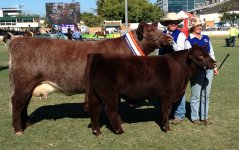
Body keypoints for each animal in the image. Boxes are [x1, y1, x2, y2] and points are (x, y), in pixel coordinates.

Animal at [7, 21, 172, 135]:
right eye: (151, 30)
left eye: (158, 28)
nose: (169, 38)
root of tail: (17, 40)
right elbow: (115, 105)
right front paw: (120, 123)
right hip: (24, 83)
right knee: (17, 102)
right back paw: (18, 129)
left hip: (27, 85)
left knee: (24, 104)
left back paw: (27, 124)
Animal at [84, 44, 217, 136]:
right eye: (200, 56)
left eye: (208, 53)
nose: (215, 63)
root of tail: (96, 56)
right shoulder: (166, 95)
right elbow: (165, 110)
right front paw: (167, 129)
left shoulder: (162, 96)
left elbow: (164, 111)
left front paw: (164, 125)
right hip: (109, 94)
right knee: (110, 110)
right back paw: (119, 130)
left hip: (96, 94)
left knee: (95, 110)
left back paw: (97, 131)